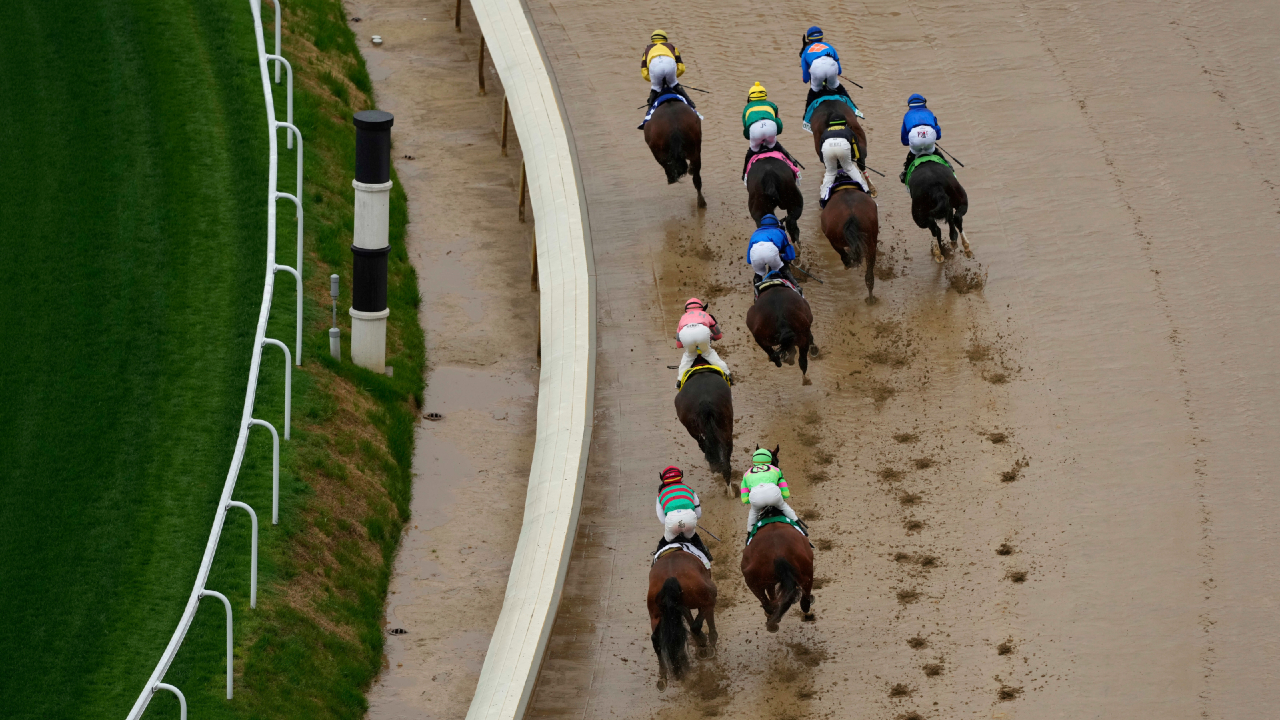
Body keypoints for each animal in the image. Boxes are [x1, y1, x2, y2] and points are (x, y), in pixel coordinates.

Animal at [648, 547, 718, 690]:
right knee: (697, 624)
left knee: (655, 639)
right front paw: (708, 645)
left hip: (655, 615)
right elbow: (704, 621)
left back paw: (663, 676)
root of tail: (669, 577)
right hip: (708, 595)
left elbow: (690, 618)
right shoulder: (706, 599)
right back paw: (705, 644)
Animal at [740, 446, 815, 632]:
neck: (771, 511)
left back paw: (772, 621)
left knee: (768, 604)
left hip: (753, 580)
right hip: (807, 571)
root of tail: (779, 554)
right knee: (804, 601)